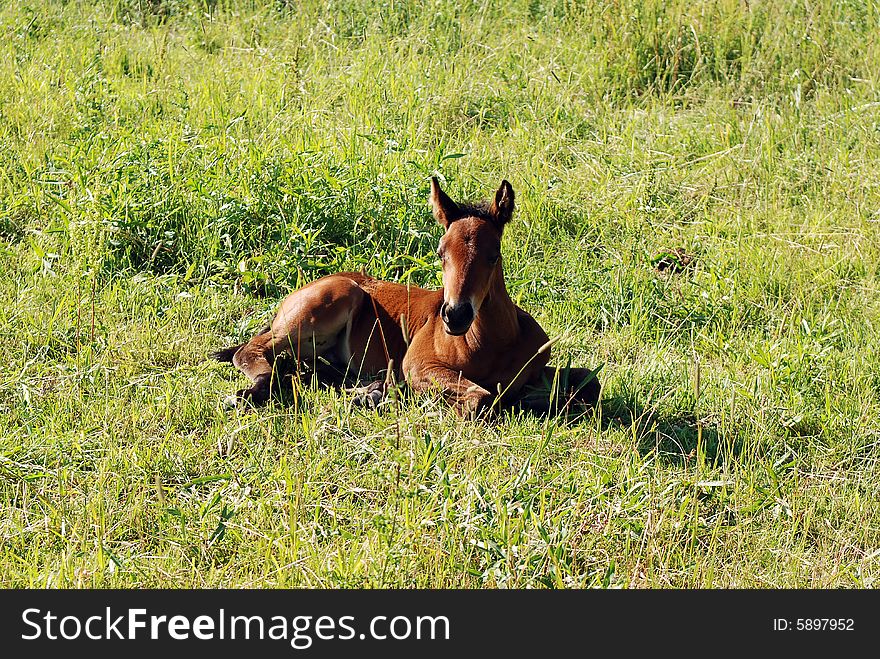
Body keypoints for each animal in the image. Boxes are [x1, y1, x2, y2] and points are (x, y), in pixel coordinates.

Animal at [213, 178, 600, 416]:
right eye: (441, 253)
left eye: (494, 255)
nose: (455, 315)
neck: (492, 343)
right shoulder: (419, 363)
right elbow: (478, 398)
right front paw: (384, 395)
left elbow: (590, 382)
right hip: (325, 304)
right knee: (252, 350)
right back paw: (252, 392)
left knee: (303, 367)